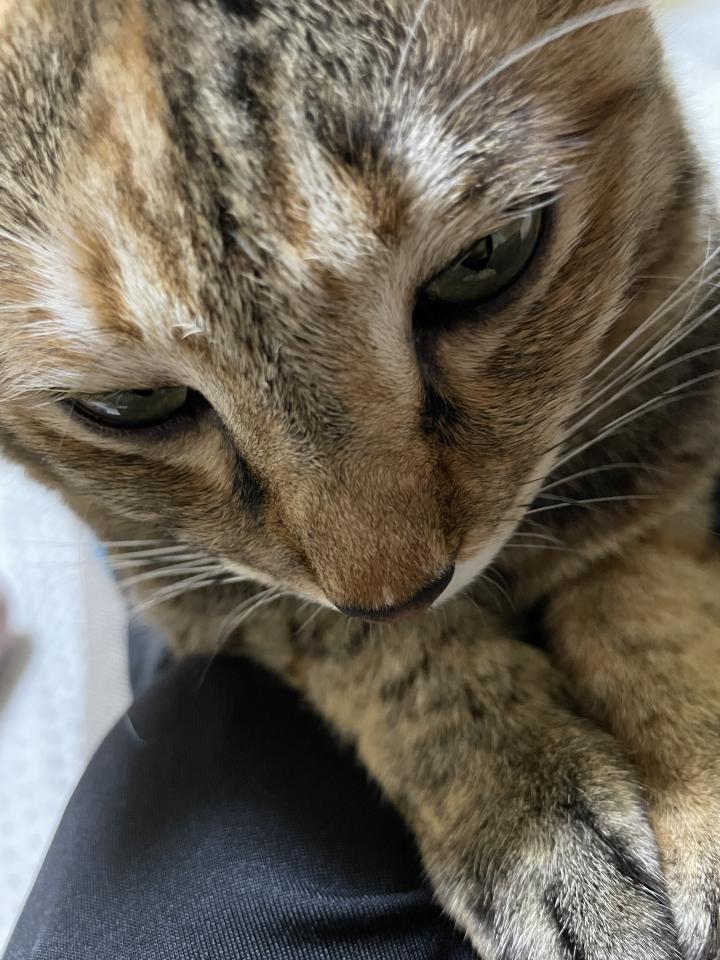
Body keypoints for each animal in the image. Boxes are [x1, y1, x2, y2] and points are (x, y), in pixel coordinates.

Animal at [1, 0, 719, 957]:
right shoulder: (179, 578)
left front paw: (699, 780)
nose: (397, 589)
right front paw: (537, 827)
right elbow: (378, 656)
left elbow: (637, 585)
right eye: (129, 404)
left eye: (488, 256)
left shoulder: (679, 378)